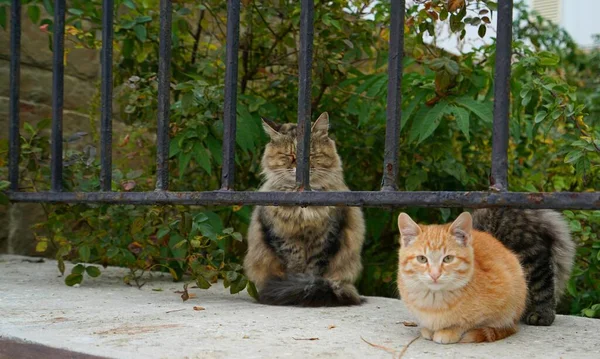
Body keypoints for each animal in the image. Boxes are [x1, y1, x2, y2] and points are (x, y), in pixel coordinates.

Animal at [244, 112, 366, 306]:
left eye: (310, 155)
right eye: (289, 155)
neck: (303, 206)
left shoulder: (326, 237)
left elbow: (314, 270)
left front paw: (307, 288)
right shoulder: (283, 238)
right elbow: (295, 266)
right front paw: (299, 287)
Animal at [396, 212, 528, 344]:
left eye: (448, 258)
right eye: (422, 259)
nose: (435, 274)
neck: (434, 302)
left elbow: (468, 323)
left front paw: (450, 330)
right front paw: (428, 328)